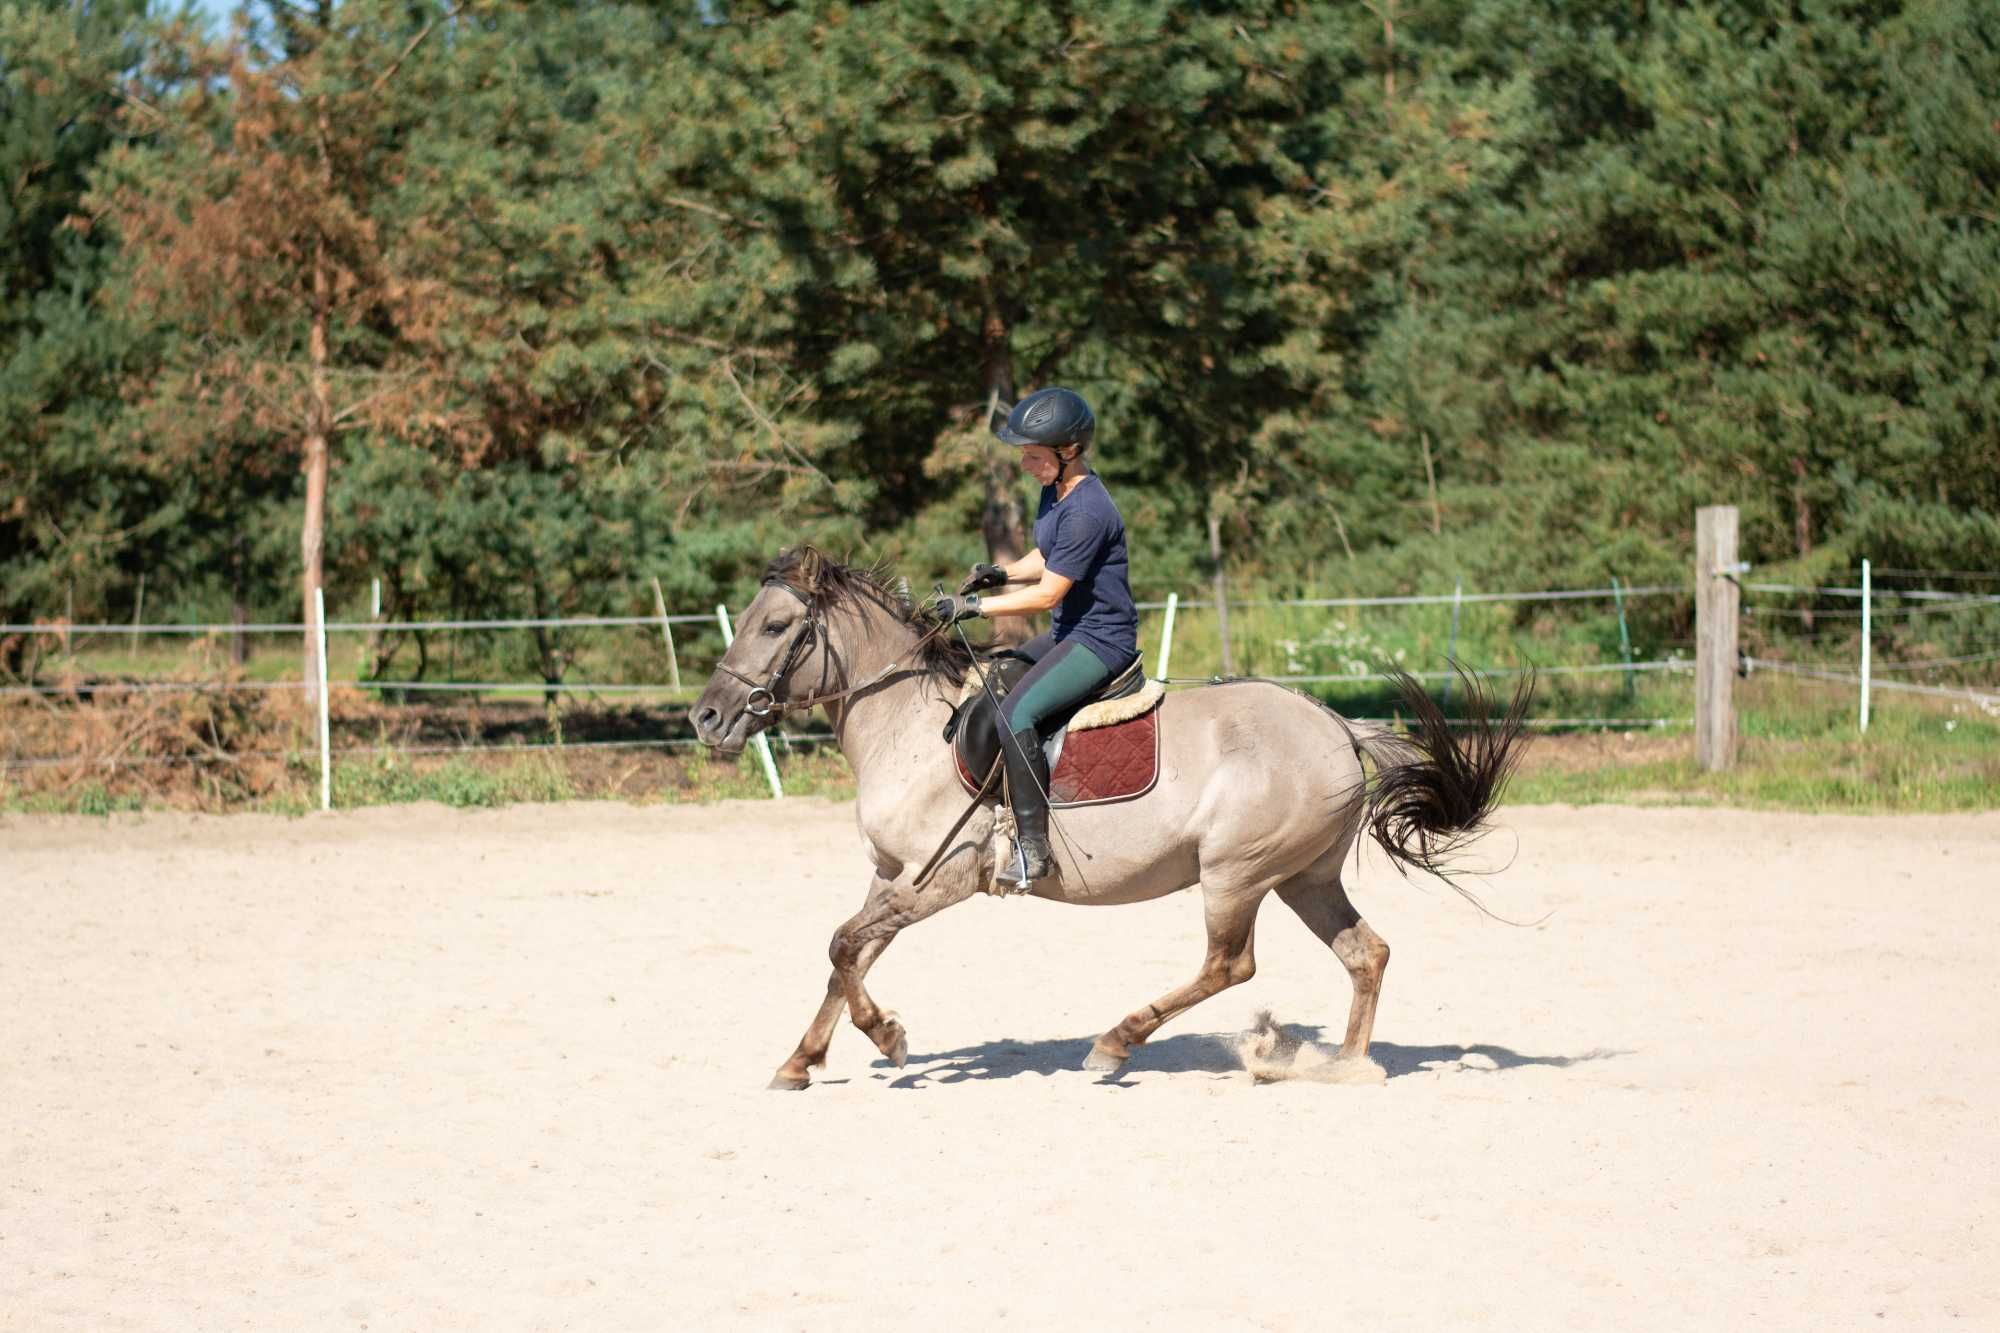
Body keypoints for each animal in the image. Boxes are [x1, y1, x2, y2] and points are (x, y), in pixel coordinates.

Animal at [692, 544, 1528, 1088]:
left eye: (775, 627)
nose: (707, 717)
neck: (908, 725)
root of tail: (1334, 724)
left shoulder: (942, 878)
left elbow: (841, 946)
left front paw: (889, 1037)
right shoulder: (894, 874)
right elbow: (849, 957)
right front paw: (801, 1060)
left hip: (1236, 873)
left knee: (1231, 964)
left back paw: (1116, 1042)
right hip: (1304, 878)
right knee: (1365, 953)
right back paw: (1347, 1066)